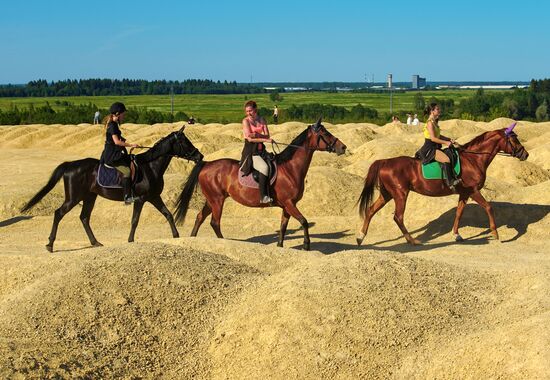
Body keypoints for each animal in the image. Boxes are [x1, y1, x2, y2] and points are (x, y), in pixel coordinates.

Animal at [21, 127, 205, 252]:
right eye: (184, 142)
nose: (199, 156)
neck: (150, 167)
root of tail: (70, 165)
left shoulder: (154, 197)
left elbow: (168, 214)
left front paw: (176, 236)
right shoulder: (141, 199)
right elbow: (135, 220)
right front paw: (130, 240)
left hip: (89, 197)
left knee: (84, 217)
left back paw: (95, 242)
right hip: (74, 197)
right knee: (59, 213)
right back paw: (50, 244)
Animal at [175, 119, 348, 249]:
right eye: (325, 133)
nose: (343, 147)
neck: (290, 168)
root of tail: (206, 164)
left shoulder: (286, 206)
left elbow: (283, 226)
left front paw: (280, 246)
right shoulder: (290, 203)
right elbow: (304, 221)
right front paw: (306, 245)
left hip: (211, 200)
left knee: (200, 217)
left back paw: (193, 239)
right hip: (217, 200)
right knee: (214, 222)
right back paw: (224, 242)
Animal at [358, 122, 532, 246]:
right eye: (514, 139)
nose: (525, 154)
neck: (473, 159)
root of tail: (384, 162)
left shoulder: (464, 193)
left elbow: (459, 213)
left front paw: (456, 235)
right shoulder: (473, 191)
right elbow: (488, 207)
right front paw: (495, 234)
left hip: (387, 194)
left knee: (370, 210)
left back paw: (360, 237)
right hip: (400, 194)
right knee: (398, 217)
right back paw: (412, 241)